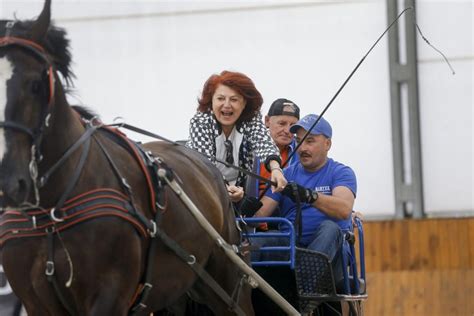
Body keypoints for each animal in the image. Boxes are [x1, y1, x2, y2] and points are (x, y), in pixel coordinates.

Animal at [0, 1, 256, 314]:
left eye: (35, 84)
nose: (9, 183)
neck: (51, 213)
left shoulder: (109, 294)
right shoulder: (35, 302)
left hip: (227, 284)